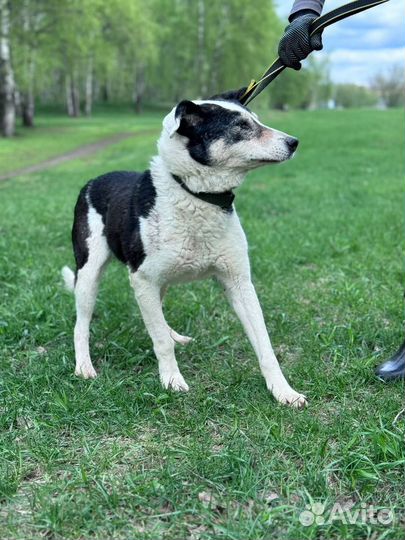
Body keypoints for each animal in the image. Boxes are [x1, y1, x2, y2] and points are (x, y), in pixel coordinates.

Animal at [61, 88, 304, 408]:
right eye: (240, 126)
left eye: (256, 120)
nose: (294, 142)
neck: (196, 194)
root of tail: (92, 180)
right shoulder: (143, 279)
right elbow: (160, 342)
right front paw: (171, 380)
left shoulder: (239, 282)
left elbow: (264, 343)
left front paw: (283, 391)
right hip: (89, 273)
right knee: (81, 324)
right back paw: (84, 366)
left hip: (159, 281)